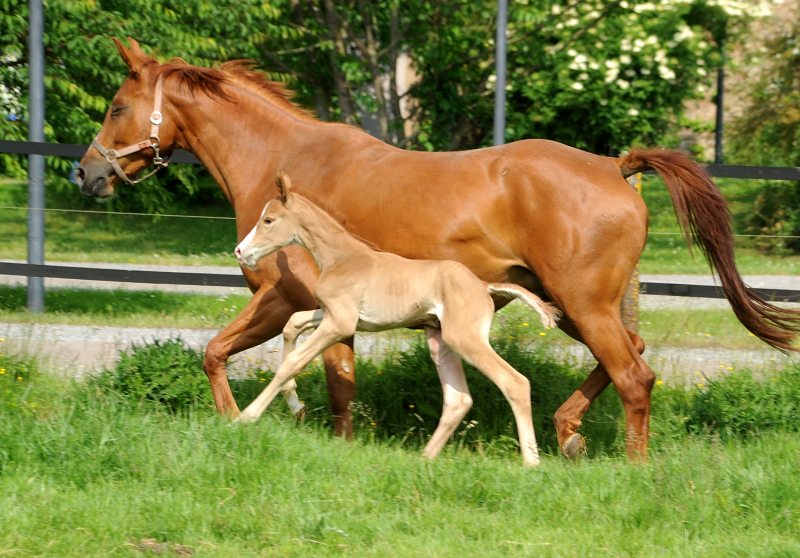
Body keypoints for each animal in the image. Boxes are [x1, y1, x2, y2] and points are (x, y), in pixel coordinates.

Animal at [233, 175, 556, 468]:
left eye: (269, 220)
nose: (239, 251)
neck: (342, 258)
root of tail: (484, 286)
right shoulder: (334, 314)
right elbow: (292, 324)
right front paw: (296, 404)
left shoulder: (340, 324)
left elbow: (293, 361)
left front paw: (245, 417)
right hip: (439, 340)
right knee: (458, 399)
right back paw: (424, 458)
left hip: (465, 339)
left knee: (514, 382)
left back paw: (531, 462)